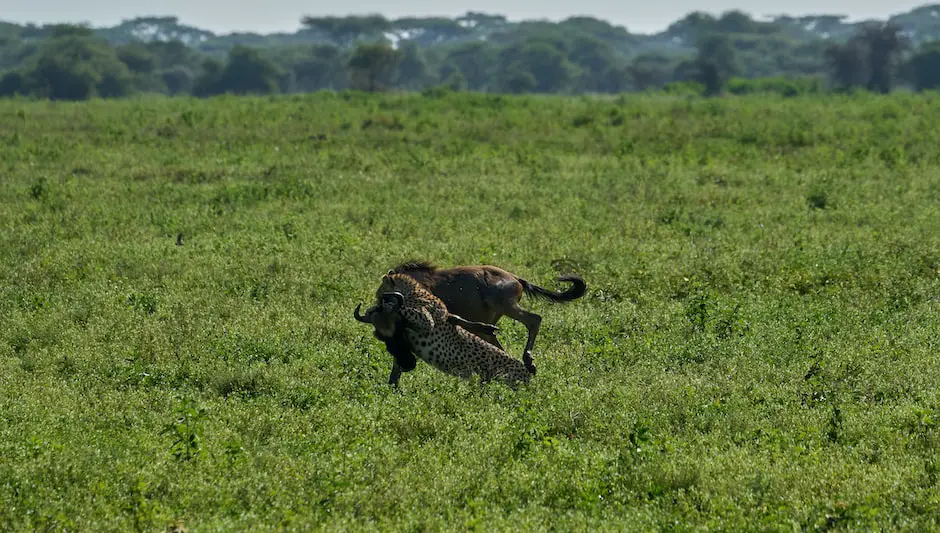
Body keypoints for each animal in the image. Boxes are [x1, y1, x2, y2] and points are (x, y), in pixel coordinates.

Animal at [358, 272, 536, 388]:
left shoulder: (426, 321)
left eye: (380, 291)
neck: (412, 292)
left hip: (503, 378)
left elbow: (407, 311)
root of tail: (530, 379)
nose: (376, 299)